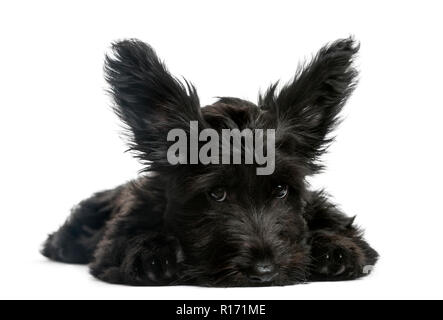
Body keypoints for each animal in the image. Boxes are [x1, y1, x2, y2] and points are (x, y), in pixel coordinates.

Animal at [43, 38, 380, 288]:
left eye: (281, 190)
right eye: (216, 194)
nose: (264, 272)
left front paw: (336, 249)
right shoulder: (117, 236)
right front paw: (152, 253)